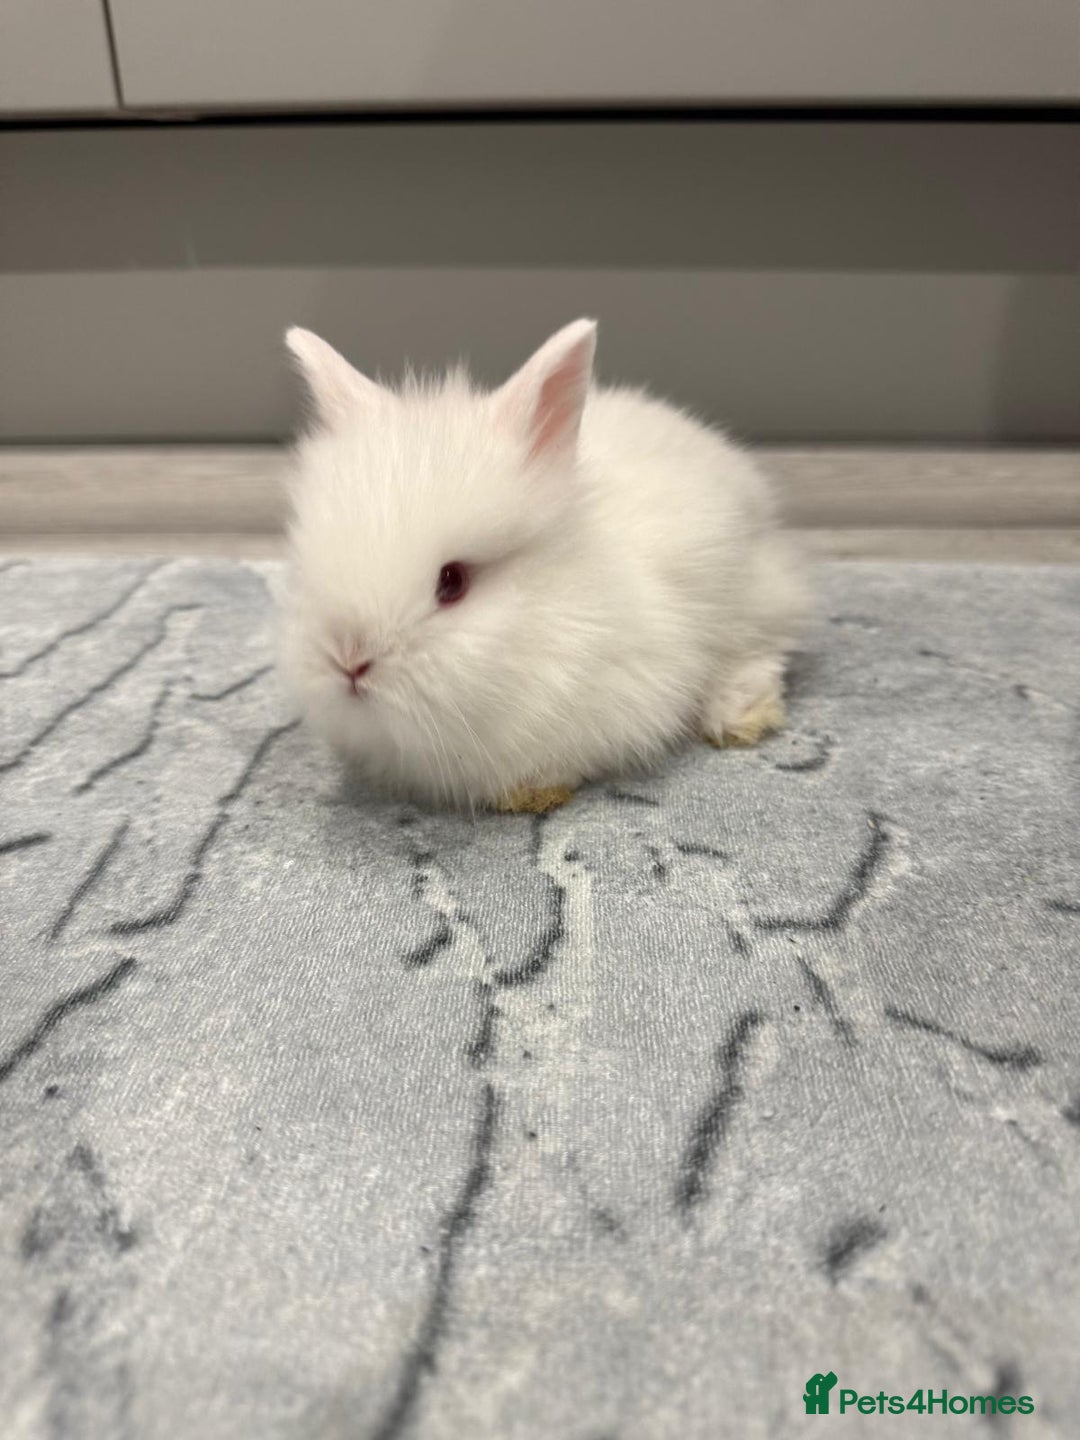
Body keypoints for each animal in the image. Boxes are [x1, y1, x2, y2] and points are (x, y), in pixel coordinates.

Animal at [278, 318, 809, 813]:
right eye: (309, 565)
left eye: (453, 581)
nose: (349, 661)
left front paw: (533, 792)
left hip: (753, 602)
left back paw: (741, 716)